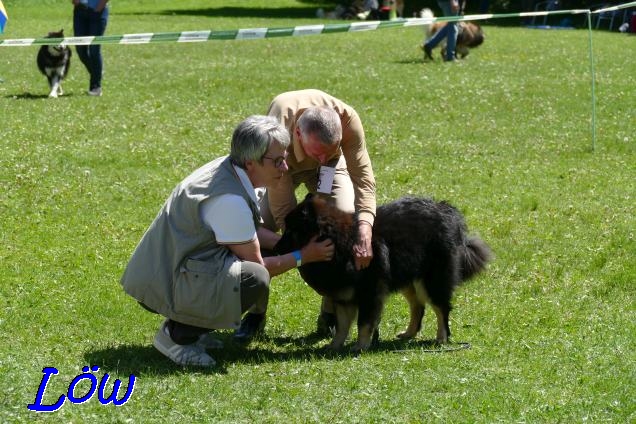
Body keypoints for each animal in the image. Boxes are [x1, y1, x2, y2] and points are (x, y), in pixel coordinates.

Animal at [274, 194, 492, 352]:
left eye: (291, 231)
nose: (275, 249)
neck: (340, 242)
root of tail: (446, 210)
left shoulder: (370, 293)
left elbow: (363, 323)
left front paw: (360, 346)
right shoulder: (343, 295)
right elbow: (342, 326)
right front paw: (334, 346)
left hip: (431, 280)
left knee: (441, 308)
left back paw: (442, 338)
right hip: (406, 278)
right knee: (418, 306)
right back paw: (409, 333)